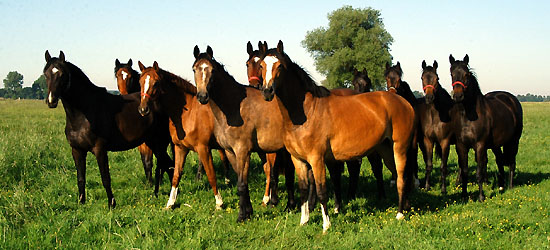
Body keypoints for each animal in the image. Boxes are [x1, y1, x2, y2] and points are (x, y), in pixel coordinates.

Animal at [45, 50, 175, 207]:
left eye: (62, 74)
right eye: (46, 74)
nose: (51, 101)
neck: (84, 114)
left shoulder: (100, 149)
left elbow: (105, 178)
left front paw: (111, 203)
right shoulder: (77, 150)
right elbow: (80, 178)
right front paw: (81, 202)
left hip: (159, 144)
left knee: (169, 166)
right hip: (153, 144)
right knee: (166, 166)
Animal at [138, 60, 235, 209]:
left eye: (156, 83)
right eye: (140, 82)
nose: (143, 109)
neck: (188, 114)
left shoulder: (203, 149)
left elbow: (211, 174)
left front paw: (219, 203)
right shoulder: (180, 148)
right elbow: (176, 175)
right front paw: (170, 203)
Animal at [260, 41, 416, 232]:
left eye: (280, 66)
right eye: (261, 65)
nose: (267, 92)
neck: (306, 113)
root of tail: (404, 103)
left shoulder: (317, 159)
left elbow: (321, 191)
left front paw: (326, 226)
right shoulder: (298, 160)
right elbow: (303, 190)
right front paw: (304, 221)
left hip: (399, 148)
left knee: (401, 177)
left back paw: (400, 214)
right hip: (386, 150)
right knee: (398, 175)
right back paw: (406, 207)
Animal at [418, 60, 458, 193]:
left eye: (437, 78)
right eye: (422, 78)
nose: (429, 98)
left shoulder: (444, 142)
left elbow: (443, 166)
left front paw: (443, 189)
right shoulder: (428, 141)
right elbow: (429, 165)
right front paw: (427, 186)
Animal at [450, 54, 524, 201]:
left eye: (466, 74)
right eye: (452, 74)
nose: (458, 96)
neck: (469, 116)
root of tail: (512, 99)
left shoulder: (480, 145)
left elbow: (479, 171)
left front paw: (481, 197)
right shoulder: (461, 146)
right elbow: (465, 171)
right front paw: (464, 196)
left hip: (513, 141)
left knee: (511, 162)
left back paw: (510, 186)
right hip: (496, 145)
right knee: (500, 161)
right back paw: (501, 186)